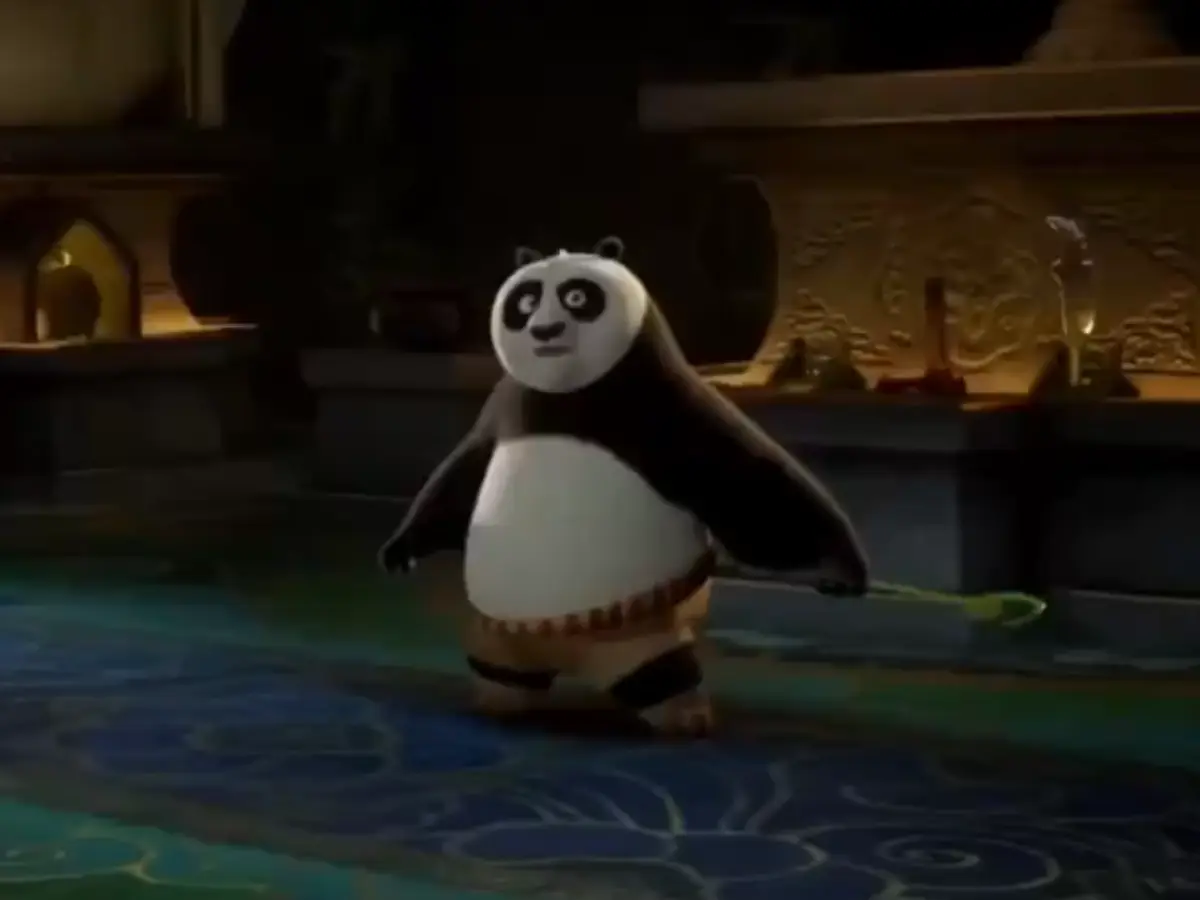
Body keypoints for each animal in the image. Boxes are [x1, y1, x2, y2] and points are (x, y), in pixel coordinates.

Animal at [379, 236, 868, 736]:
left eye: (578, 297)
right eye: (526, 301)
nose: (545, 330)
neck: (565, 392)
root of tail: (567, 654)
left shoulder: (664, 402)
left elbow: (750, 482)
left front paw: (840, 571)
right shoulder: (504, 407)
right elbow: (457, 480)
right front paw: (399, 553)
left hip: (639, 629)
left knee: (660, 673)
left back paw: (685, 719)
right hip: (500, 634)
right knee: (498, 667)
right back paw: (499, 702)